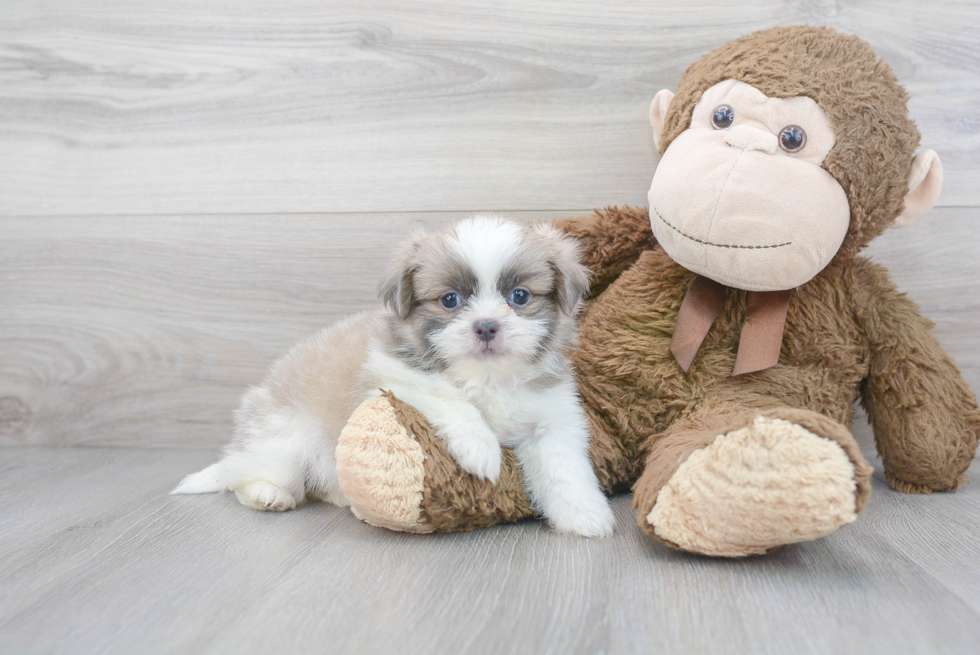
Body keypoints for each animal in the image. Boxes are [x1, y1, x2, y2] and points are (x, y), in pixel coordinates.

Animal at [169, 215, 612, 540]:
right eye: (450, 300)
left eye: (520, 296)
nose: (486, 326)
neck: (487, 377)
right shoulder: (395, 377)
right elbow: (454, 401)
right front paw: (482, 449)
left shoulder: (551, 421)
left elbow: (565, 469)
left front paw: (584, 514)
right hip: (285, 443)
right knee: (243, 475)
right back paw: (268, 493)